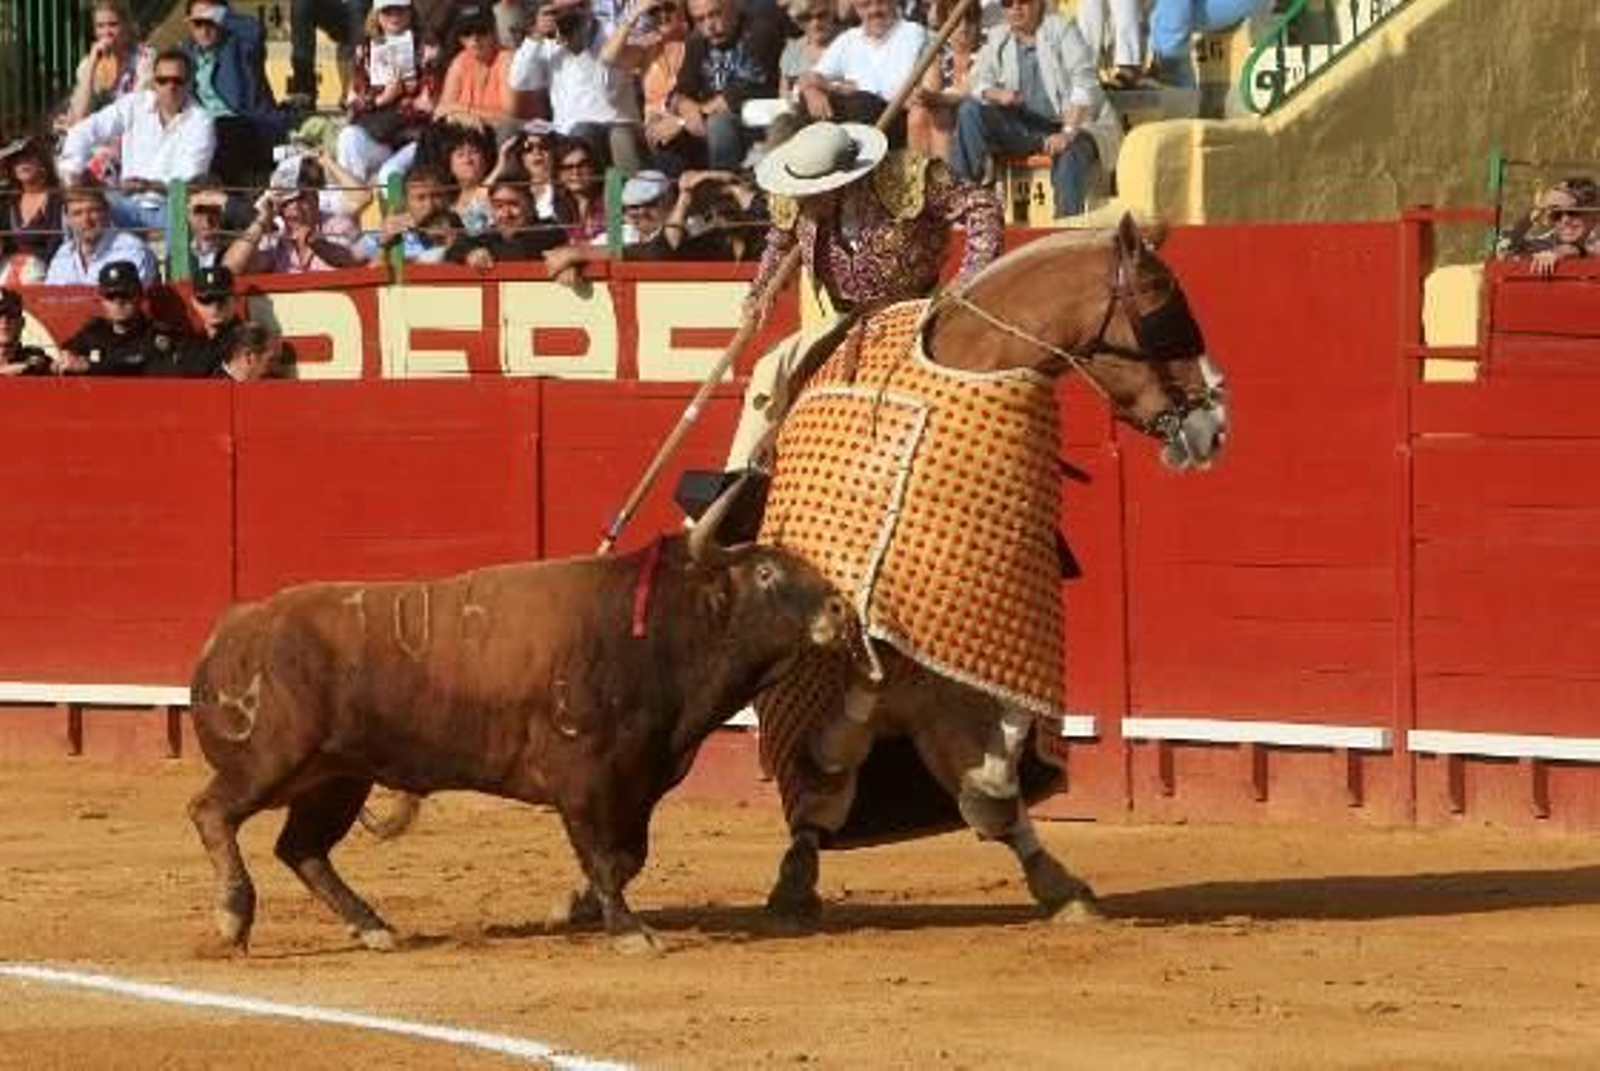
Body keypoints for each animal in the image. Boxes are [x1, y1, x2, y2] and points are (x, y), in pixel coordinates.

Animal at [753, 213, 1228, 922]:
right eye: (1161, 304)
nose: (1214, 425)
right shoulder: (866, 622)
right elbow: (849, 715)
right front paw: (823, 770)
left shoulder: (1000, 631)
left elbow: (1000, 757)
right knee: (821, 789)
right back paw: (794, 873)